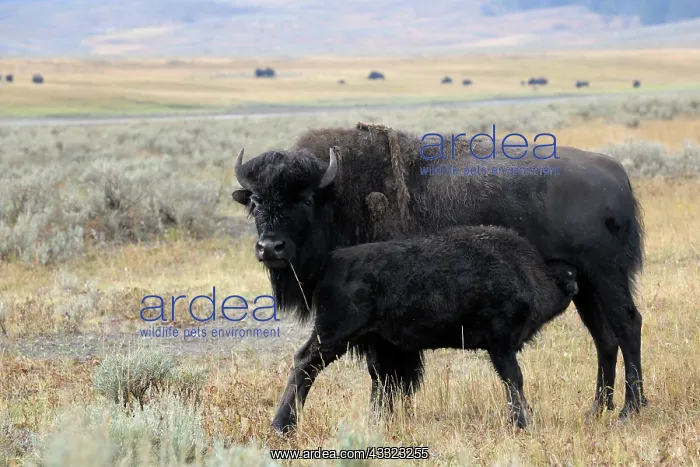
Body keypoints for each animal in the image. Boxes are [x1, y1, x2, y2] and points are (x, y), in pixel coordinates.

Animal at [268, 218, 580, 433]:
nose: (575, 284)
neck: (527, 271)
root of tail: (332, 260)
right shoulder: (500, 346)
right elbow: (514, 379)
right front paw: (523, 421)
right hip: (334, 335)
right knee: (305, 363)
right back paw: (283, 426)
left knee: (375, 381)